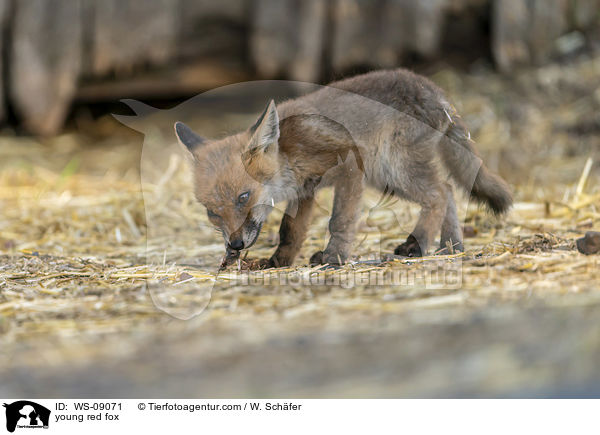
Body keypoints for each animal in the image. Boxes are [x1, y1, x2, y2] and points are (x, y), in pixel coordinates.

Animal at [175, 70, 510, 268]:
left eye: (243, 197)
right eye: (211, 212)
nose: (234, 244)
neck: (289, 154)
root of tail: (431, 88)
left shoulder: (349, 167)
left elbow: (340, 221)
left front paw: (333, 258)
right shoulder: (305, 192)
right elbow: (289, 231)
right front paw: (278, 262)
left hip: (394, 170)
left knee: (439, 193)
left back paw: (418, 244)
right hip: (387, 178)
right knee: (449, 191)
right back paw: (451, 247)